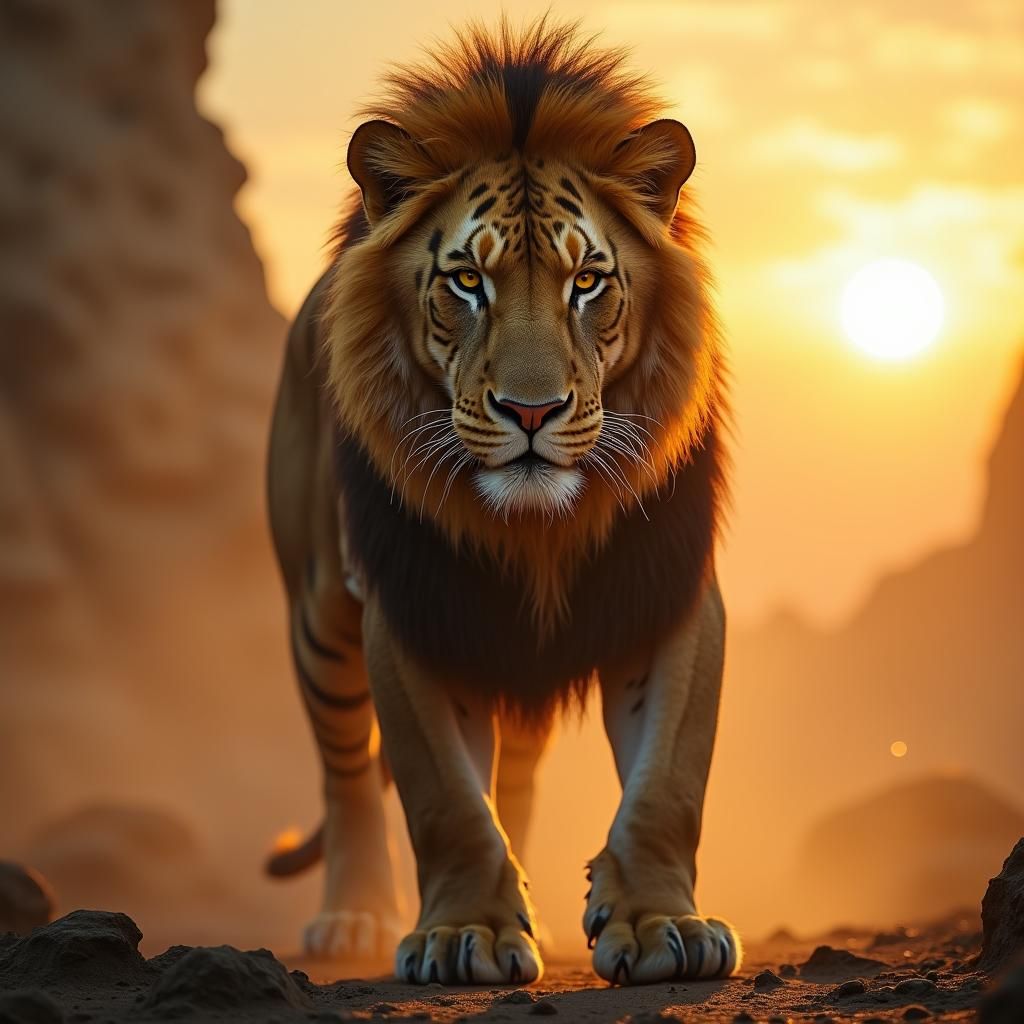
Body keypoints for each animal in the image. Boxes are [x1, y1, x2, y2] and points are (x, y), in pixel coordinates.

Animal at [265, 18, 740, 986]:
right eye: (466, 283)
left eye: (587, 281)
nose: (530, 411)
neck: (537, 529)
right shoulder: (413, 605)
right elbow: (443, 795)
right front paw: (465, 935)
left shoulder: (669, 589)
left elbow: (667, 779)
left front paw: (661, 923)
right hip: (320, 613)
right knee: (346, 770)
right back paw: (354, 917)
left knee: (513, 780)